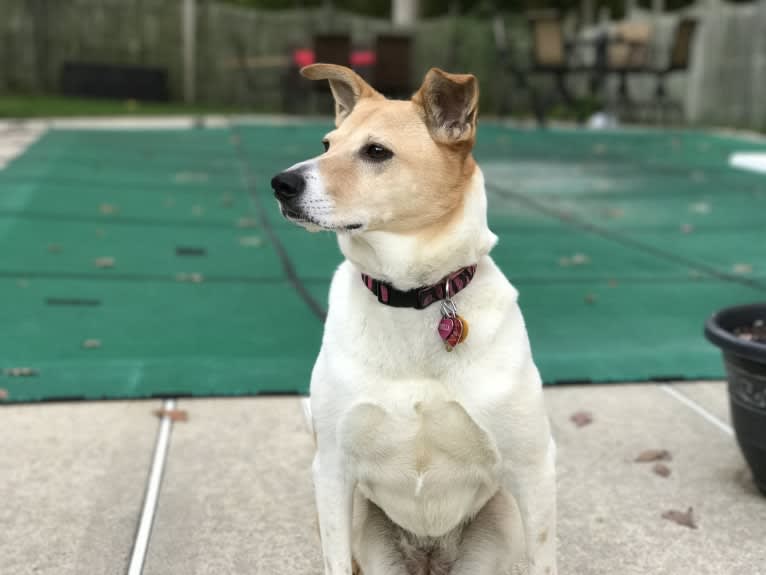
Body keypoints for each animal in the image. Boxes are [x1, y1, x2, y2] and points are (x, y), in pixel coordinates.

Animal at [272, 65, 560, 575]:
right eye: (326, 144)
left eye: (376, 152)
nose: (281, 184)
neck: (415, 298)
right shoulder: (332, 469)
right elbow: (334, 559)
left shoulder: (534, 468)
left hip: (500, 523)